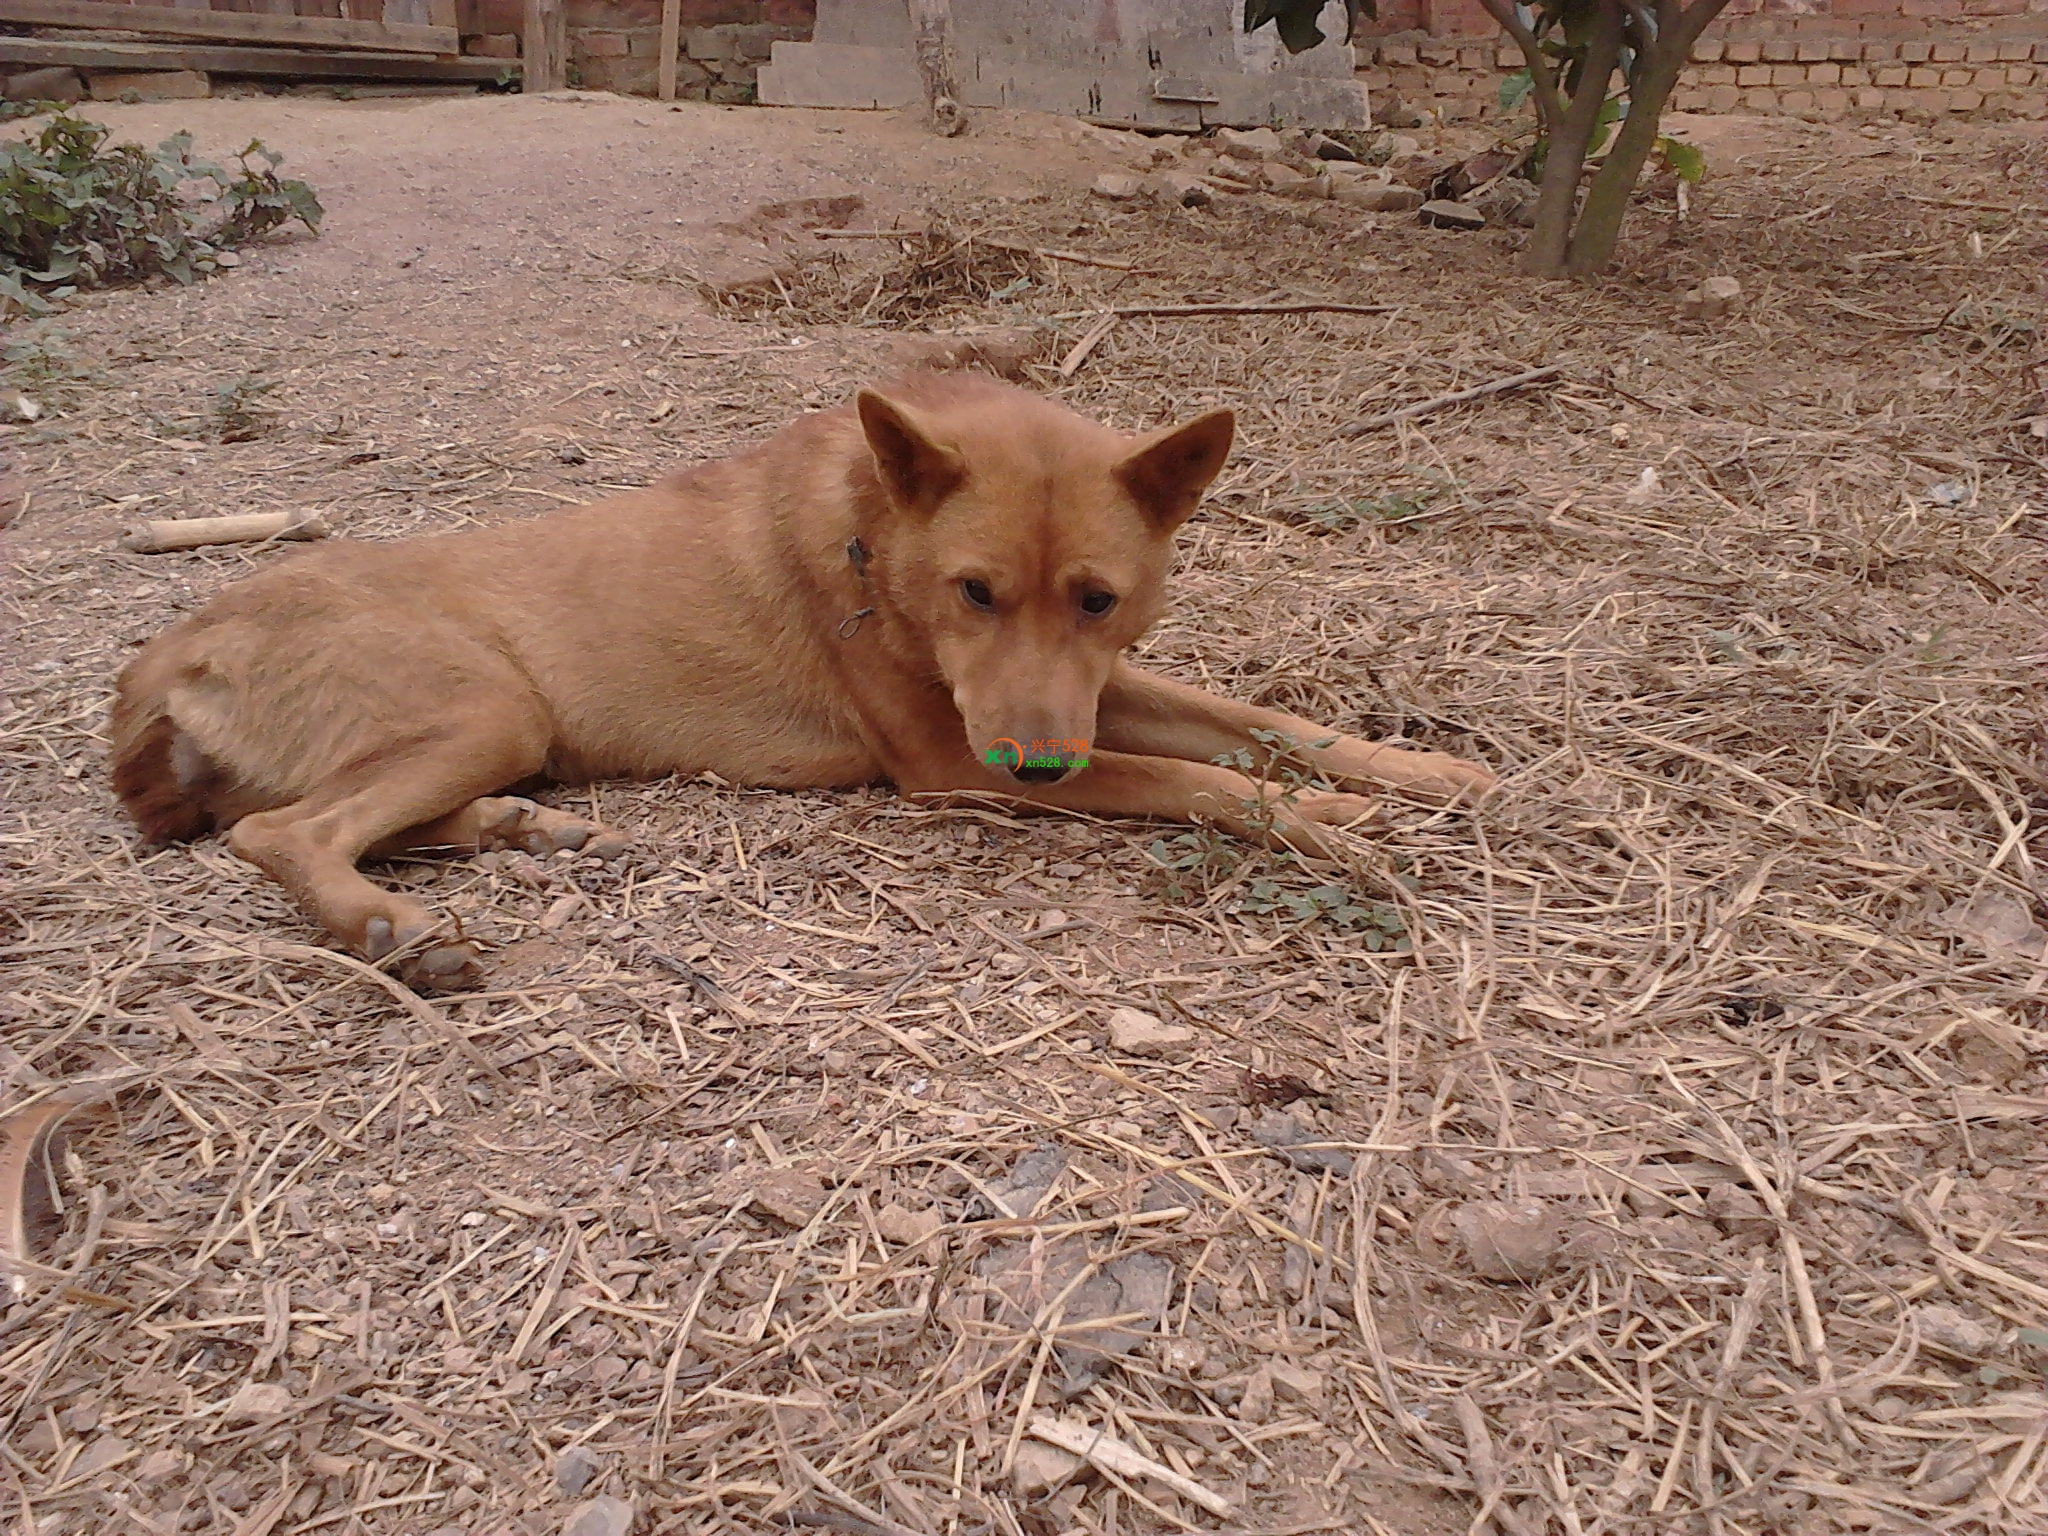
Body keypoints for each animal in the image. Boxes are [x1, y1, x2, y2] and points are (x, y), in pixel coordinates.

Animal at [108, 378, 1490, 991]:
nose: (1039, 763)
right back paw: (388, 930)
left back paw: (513, 829)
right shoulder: (952, 762)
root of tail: (172, 644)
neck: (872, 534)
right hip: (486, 706)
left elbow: (1253, 720)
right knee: (288, 835)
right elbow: (1189, 775)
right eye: (974, 593)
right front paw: (1331, 822)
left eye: (1097, 600)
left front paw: (1417, 768)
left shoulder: (1085, 692)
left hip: (497, 730)